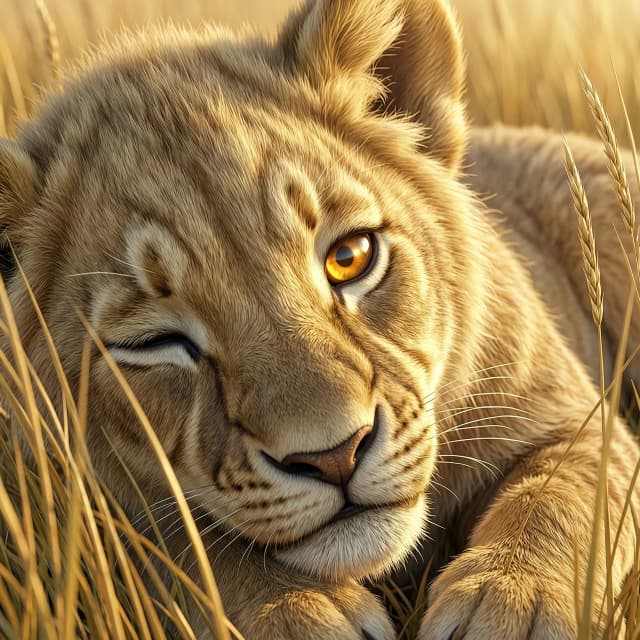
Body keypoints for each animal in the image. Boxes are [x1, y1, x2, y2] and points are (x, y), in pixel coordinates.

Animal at [0, 0, 638, 637]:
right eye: (156, 342)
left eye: (349, 257)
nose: (335, 456)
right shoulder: (53, 496)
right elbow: (173, 541)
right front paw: (295, 608)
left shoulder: (575, 420)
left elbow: (560, 492)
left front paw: (512, 601)